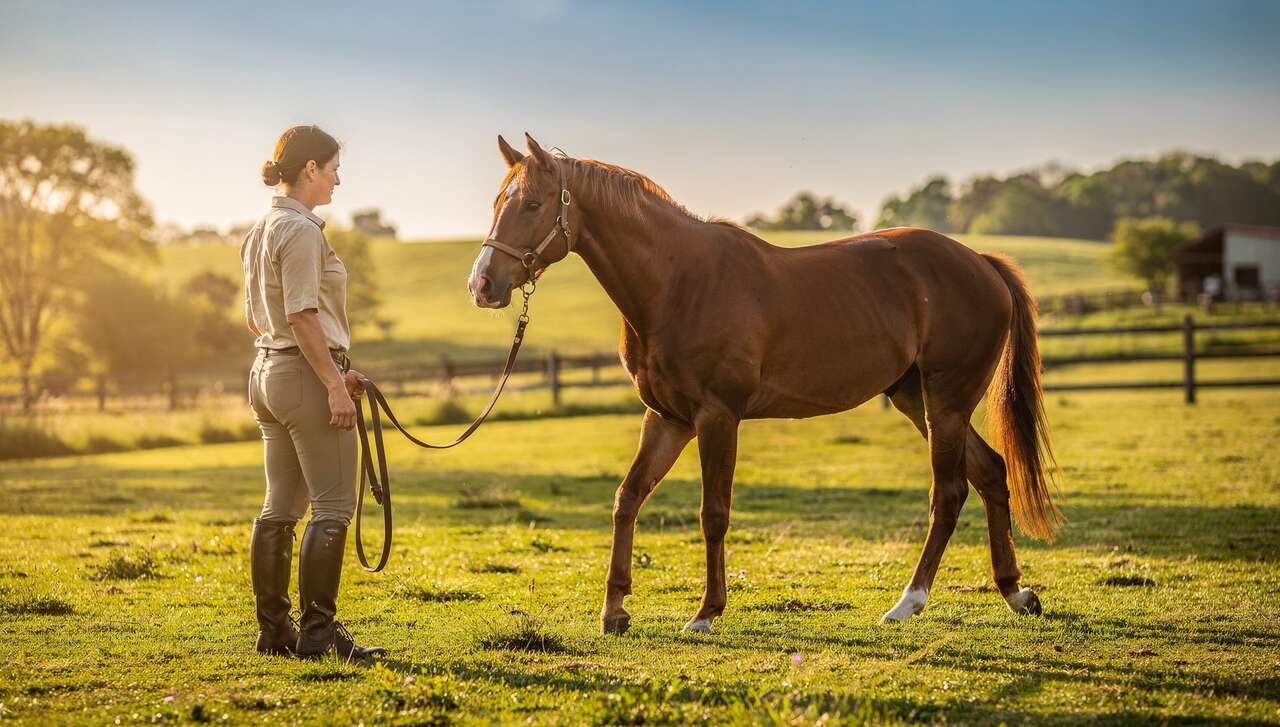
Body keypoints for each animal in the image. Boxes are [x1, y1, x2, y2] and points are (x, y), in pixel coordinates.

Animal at [467, 133, 1061, 634]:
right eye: (497, 203)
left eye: (532, 204)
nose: (483, 285)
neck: (678, 282)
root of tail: (980, 262)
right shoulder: (668, 418)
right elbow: (627, 498)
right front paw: (614, 612)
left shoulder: (717, 416)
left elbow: (713, 514)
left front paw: (706, 613)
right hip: (917, 399)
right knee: (990, 473)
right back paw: (1014, 592)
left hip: (947, 403)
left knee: (950, 492)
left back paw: (907, 603)